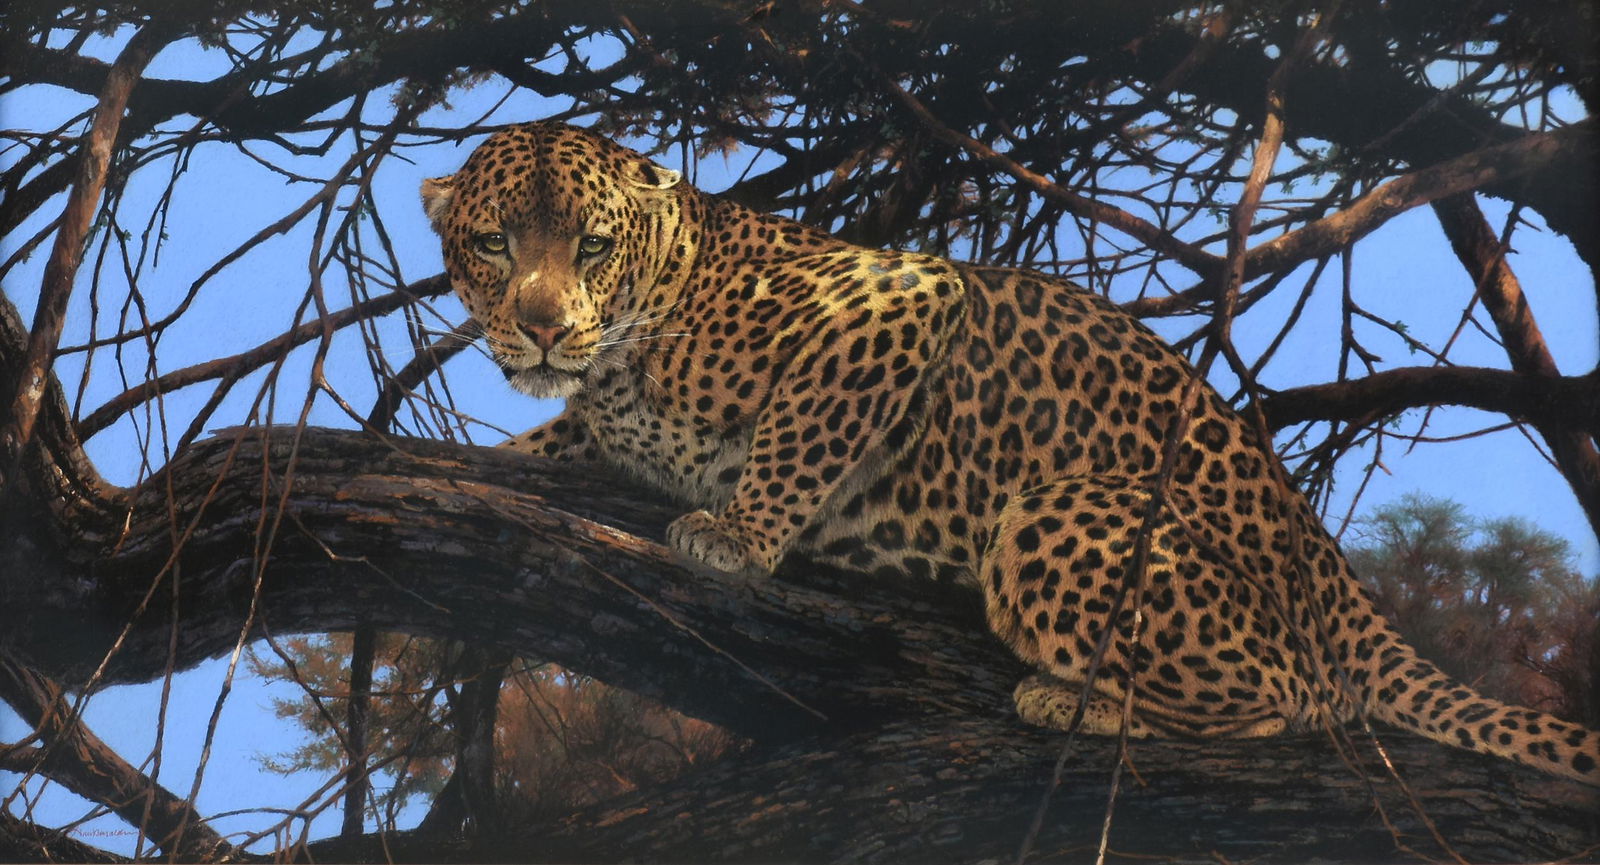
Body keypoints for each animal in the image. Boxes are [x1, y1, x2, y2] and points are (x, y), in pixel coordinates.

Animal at [421, 120, 1600, 785]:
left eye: (591, 244)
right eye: (492, 245)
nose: (537, 326)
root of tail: (1327, 563)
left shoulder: (899, 298)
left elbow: (800, 437)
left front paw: (740, 533)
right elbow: (554, 436)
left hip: (1058, 515)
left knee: (1305, 698)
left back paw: (1074, 703)